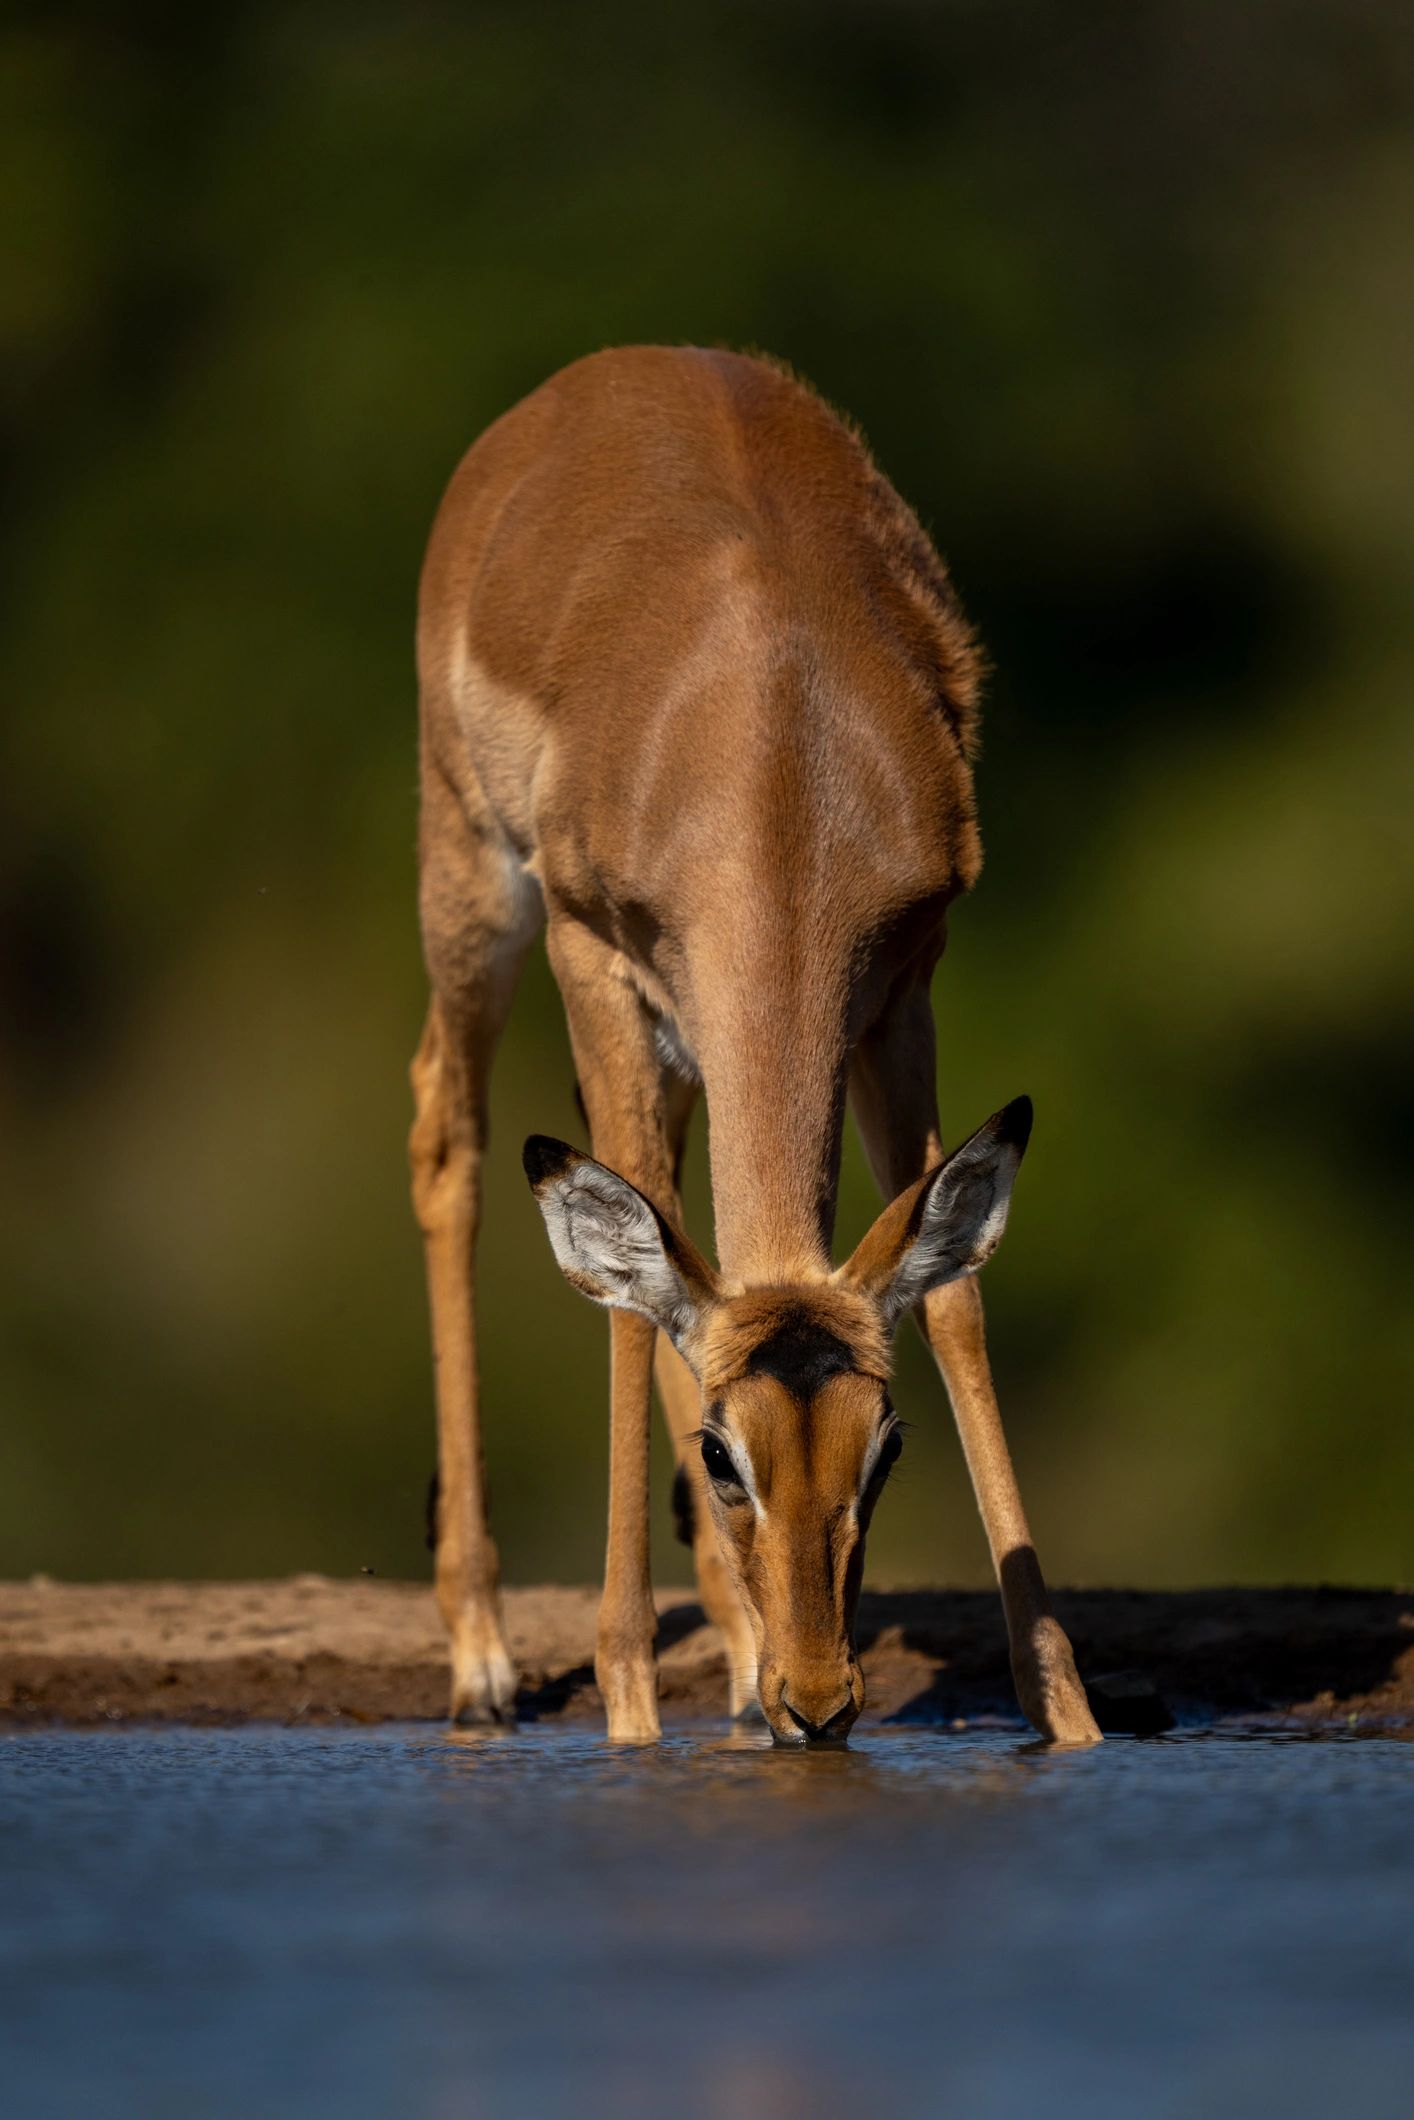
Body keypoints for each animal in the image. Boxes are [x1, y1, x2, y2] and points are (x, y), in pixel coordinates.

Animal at [410, 346, 1101, 1748]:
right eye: (727, 1454)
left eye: (884, 1442)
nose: (820, 1701)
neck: (774, 737)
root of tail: (609, 373)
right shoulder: (591, 952)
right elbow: (627, 1307)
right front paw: (626, 1706)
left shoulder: (902, 986)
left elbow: (949, 1293)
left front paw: (1068, 1713)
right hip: (475, 889)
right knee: (450, 1143)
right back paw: (486, 1663)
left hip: (679, 1038)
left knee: (673, 1225)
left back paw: (729, 1658)